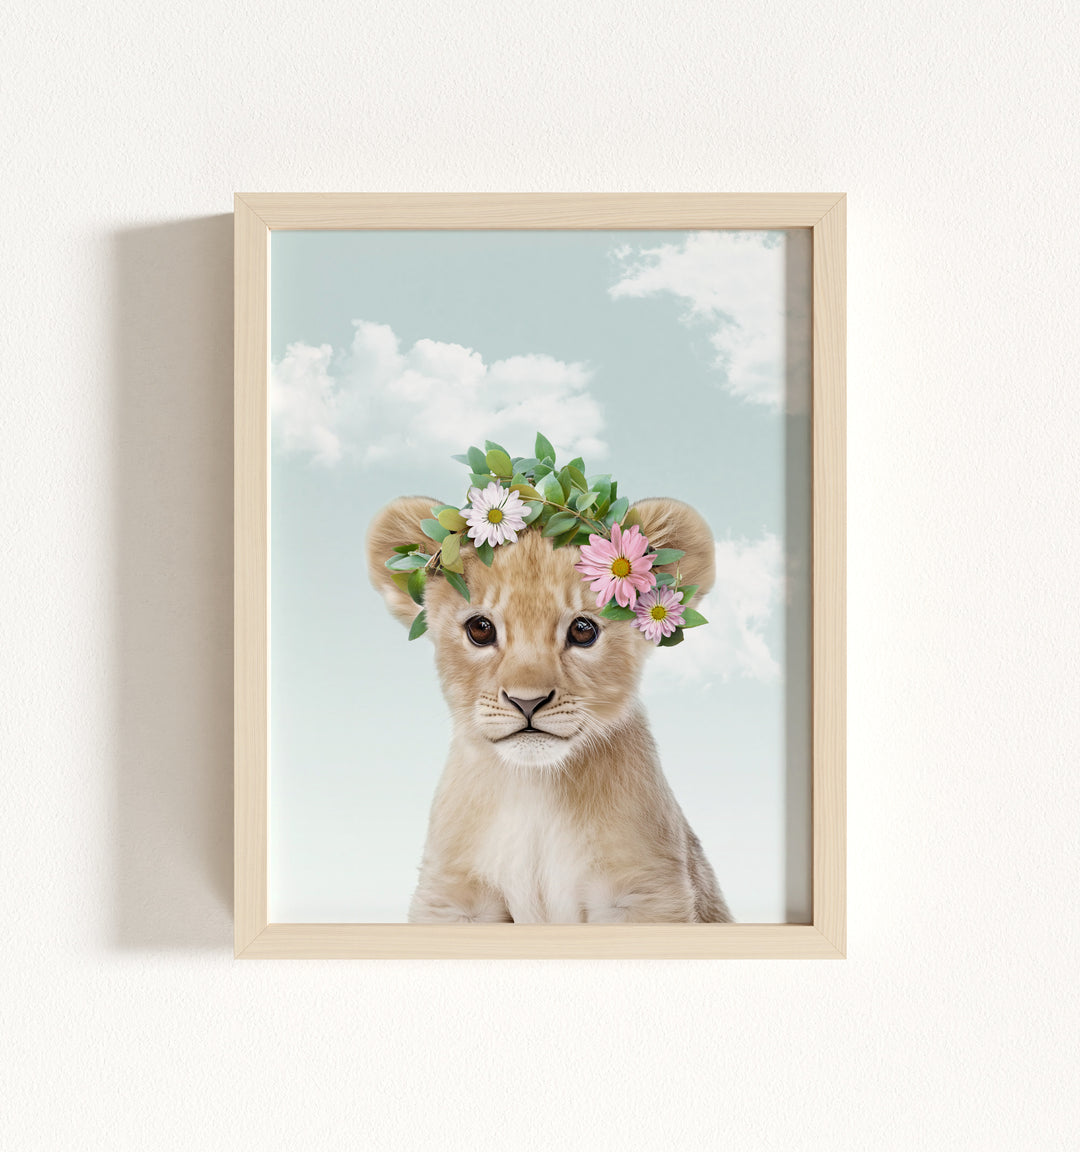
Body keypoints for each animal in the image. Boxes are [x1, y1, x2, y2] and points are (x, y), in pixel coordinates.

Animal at [367, 495, 733, 924]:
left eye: (583, 630)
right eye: (480, 629)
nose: (528, 701)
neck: (536, 789)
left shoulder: (645, 891)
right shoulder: (453, 898)